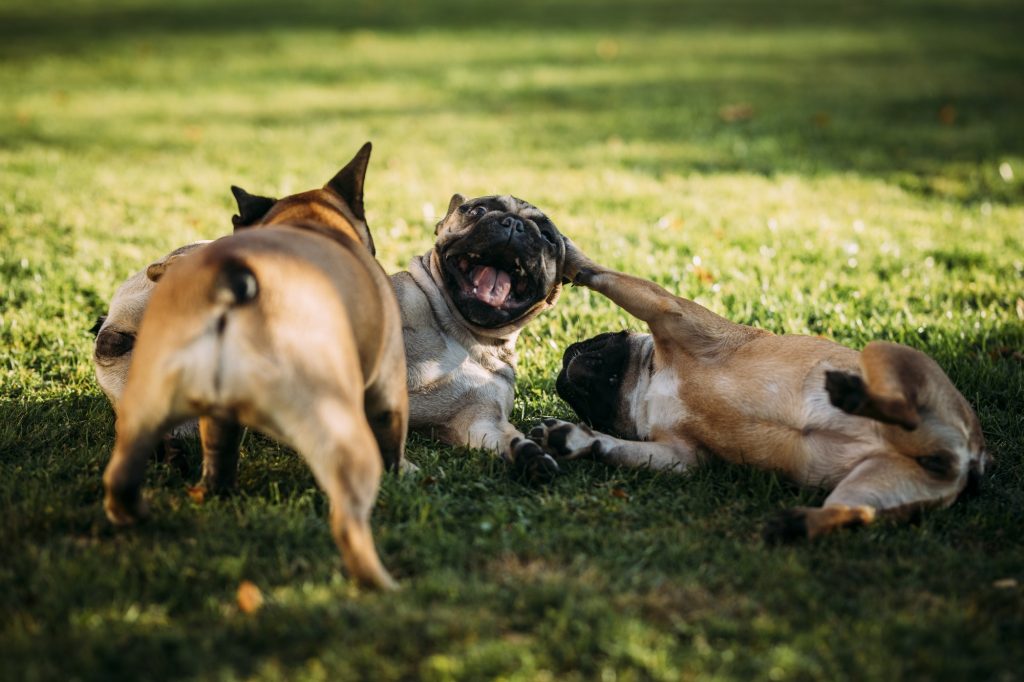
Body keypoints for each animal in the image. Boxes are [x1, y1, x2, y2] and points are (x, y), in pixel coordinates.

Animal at [101, 142, 405, 585]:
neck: (309, 222)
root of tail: (233, 282)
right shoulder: (388, 382)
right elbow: (393, 435)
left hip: (148, 405)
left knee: (130, 476)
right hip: (337, 425)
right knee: (350, 518)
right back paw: (379, 583)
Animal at [389, 192, 569, 477]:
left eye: (548, 236)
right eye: (478, 210)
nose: (514, 223)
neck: (465, 333)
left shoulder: (480, 414)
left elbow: (499, 434)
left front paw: (529, 454)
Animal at [532, 241, 987, 540]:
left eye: (597, 340)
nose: (566, 357)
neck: (647, 382)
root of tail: (969, 457)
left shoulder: (670, 314)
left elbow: (610, 279)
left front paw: (570, 257)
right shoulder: (680, 455)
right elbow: (617, 448)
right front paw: (578, 439)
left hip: (883, 353)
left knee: (904, 406)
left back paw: (855, 396)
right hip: (875, 483)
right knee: (856, 512)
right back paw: (798, 522)